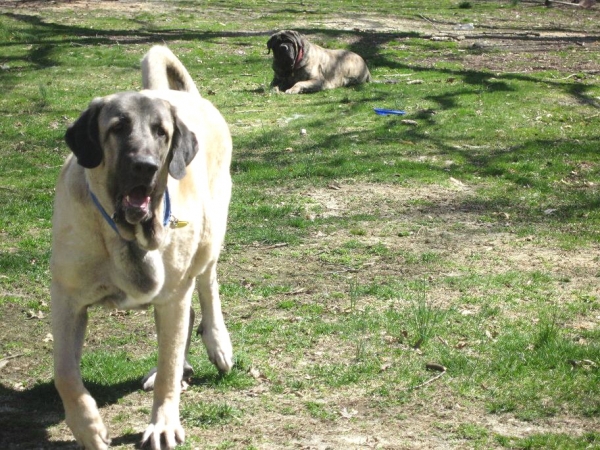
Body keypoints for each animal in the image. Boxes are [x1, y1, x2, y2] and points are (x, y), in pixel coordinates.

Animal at [51, 45, 234, 450]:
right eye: (117, 128)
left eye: (161, 133)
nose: (145, 166)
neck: (126, 236)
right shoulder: (67, 298)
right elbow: (64, 373)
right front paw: (87, 427)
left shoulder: (173, 296)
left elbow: (167, 369)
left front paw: (162, 423)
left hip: (209, 238)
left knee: (207, 289)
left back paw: (218, 343)